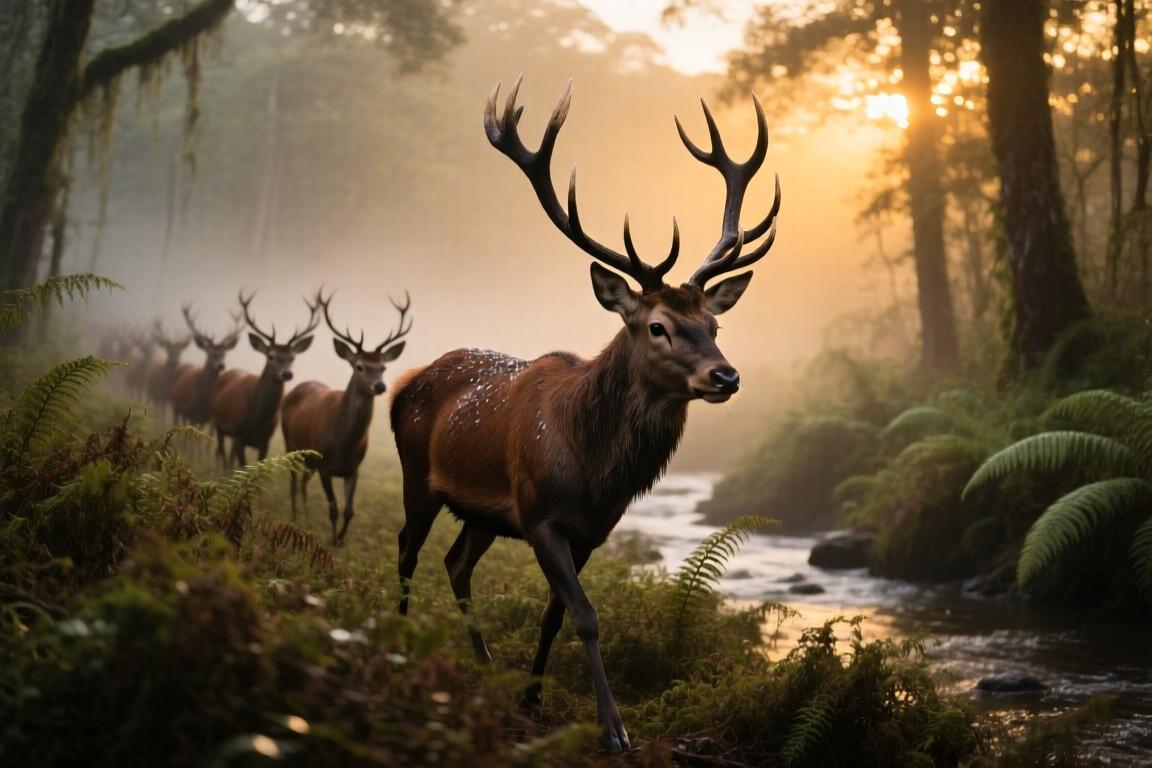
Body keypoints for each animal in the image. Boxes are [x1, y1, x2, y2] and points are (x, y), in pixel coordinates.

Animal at [210, 291, 321, 469]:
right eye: (271, 356)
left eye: (292, 357)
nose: (287, 374)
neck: (257, 422)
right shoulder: (239, 436)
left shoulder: (265, 442)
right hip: (219, 423)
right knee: (221, 452)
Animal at [280, 292, 411, 545]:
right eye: (359, 366)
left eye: (383, 367)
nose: (380, 386)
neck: (343, 444)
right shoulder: (324, 466)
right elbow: (332, 508)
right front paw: (332, 539)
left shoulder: (354, 468)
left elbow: (349, 510)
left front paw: (340, 540)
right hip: (289, 443)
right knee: (292, 481)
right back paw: (294, 516)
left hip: (308, 459)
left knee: (302, 483)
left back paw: (305, 516)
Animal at [387, 77, 780, 752]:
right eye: (657, 326)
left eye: (714, 324)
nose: (725, 376)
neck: (594, 468)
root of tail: (404, 383)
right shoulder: (541, 515)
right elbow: (588, 616)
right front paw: (613, 729)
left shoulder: (591, 530)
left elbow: (554, 615)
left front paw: (530, 696)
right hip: (418, 475)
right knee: (408, 549)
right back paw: (398, 644)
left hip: (483, 512)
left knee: (455, 562)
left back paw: (485, 665)